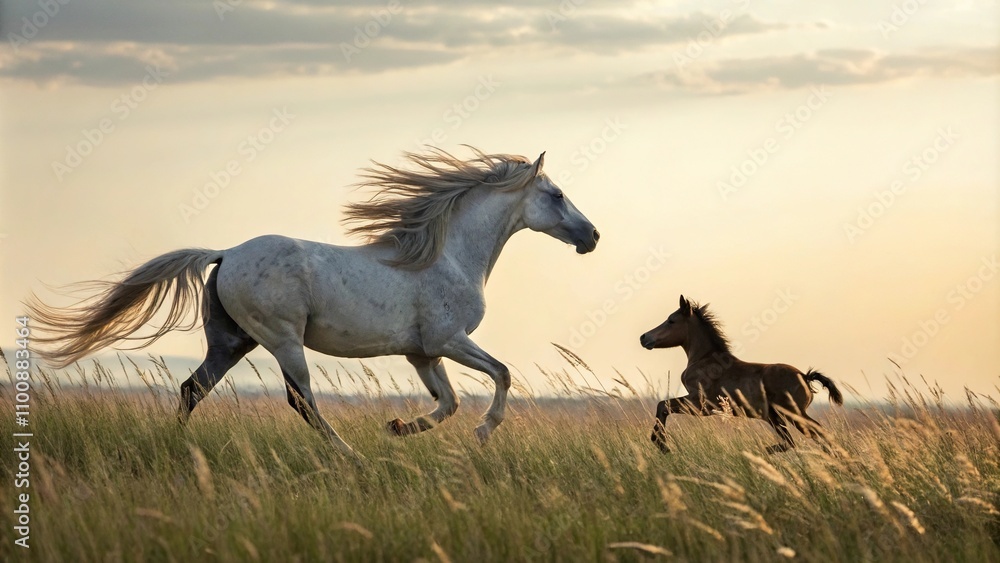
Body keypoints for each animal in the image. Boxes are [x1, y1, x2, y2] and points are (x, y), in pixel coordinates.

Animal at [28, 147, 600, 458]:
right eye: (556, 195)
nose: (592, 236)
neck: (448, 256)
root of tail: (225, 254)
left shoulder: (423, 353)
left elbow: (449, 402)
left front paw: (399, 428)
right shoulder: (449, 341)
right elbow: (501, 374)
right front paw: (482, 432)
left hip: (231, 343)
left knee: (192, 389)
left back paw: (177, 446)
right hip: (283, 341)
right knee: (300, 400)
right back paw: (352, 456)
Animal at [639, 295, 843, 454]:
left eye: (671, 320)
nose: (644, 337)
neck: (705, 359)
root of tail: (804, 376)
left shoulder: (700, 404)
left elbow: (663, 405)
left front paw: (661, 443)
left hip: (793, 414)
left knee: (818, 435)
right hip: (776, 417)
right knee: (796, 440)